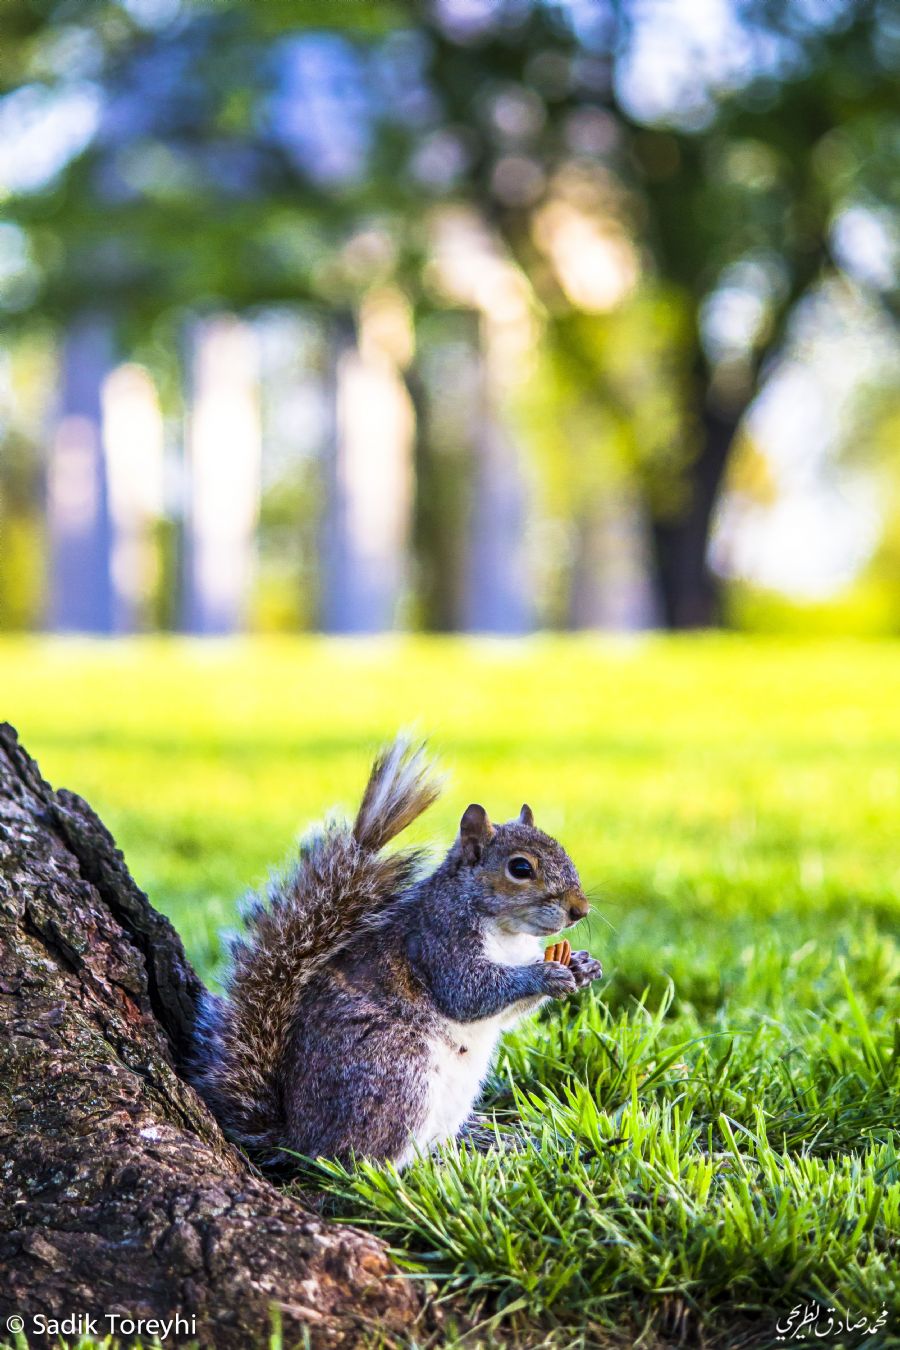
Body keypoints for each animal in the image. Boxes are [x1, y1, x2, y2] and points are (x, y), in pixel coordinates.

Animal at [190, 737, 602, 1169]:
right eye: (520, 868)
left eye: (564, 851)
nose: (580, 910)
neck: (509, 934)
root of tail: (299, 1141)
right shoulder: (440, 942)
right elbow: (470, 994)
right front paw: (545, 975)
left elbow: (506, 1013)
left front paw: (582, 966)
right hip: (398, 1071)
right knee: (362, 1160)